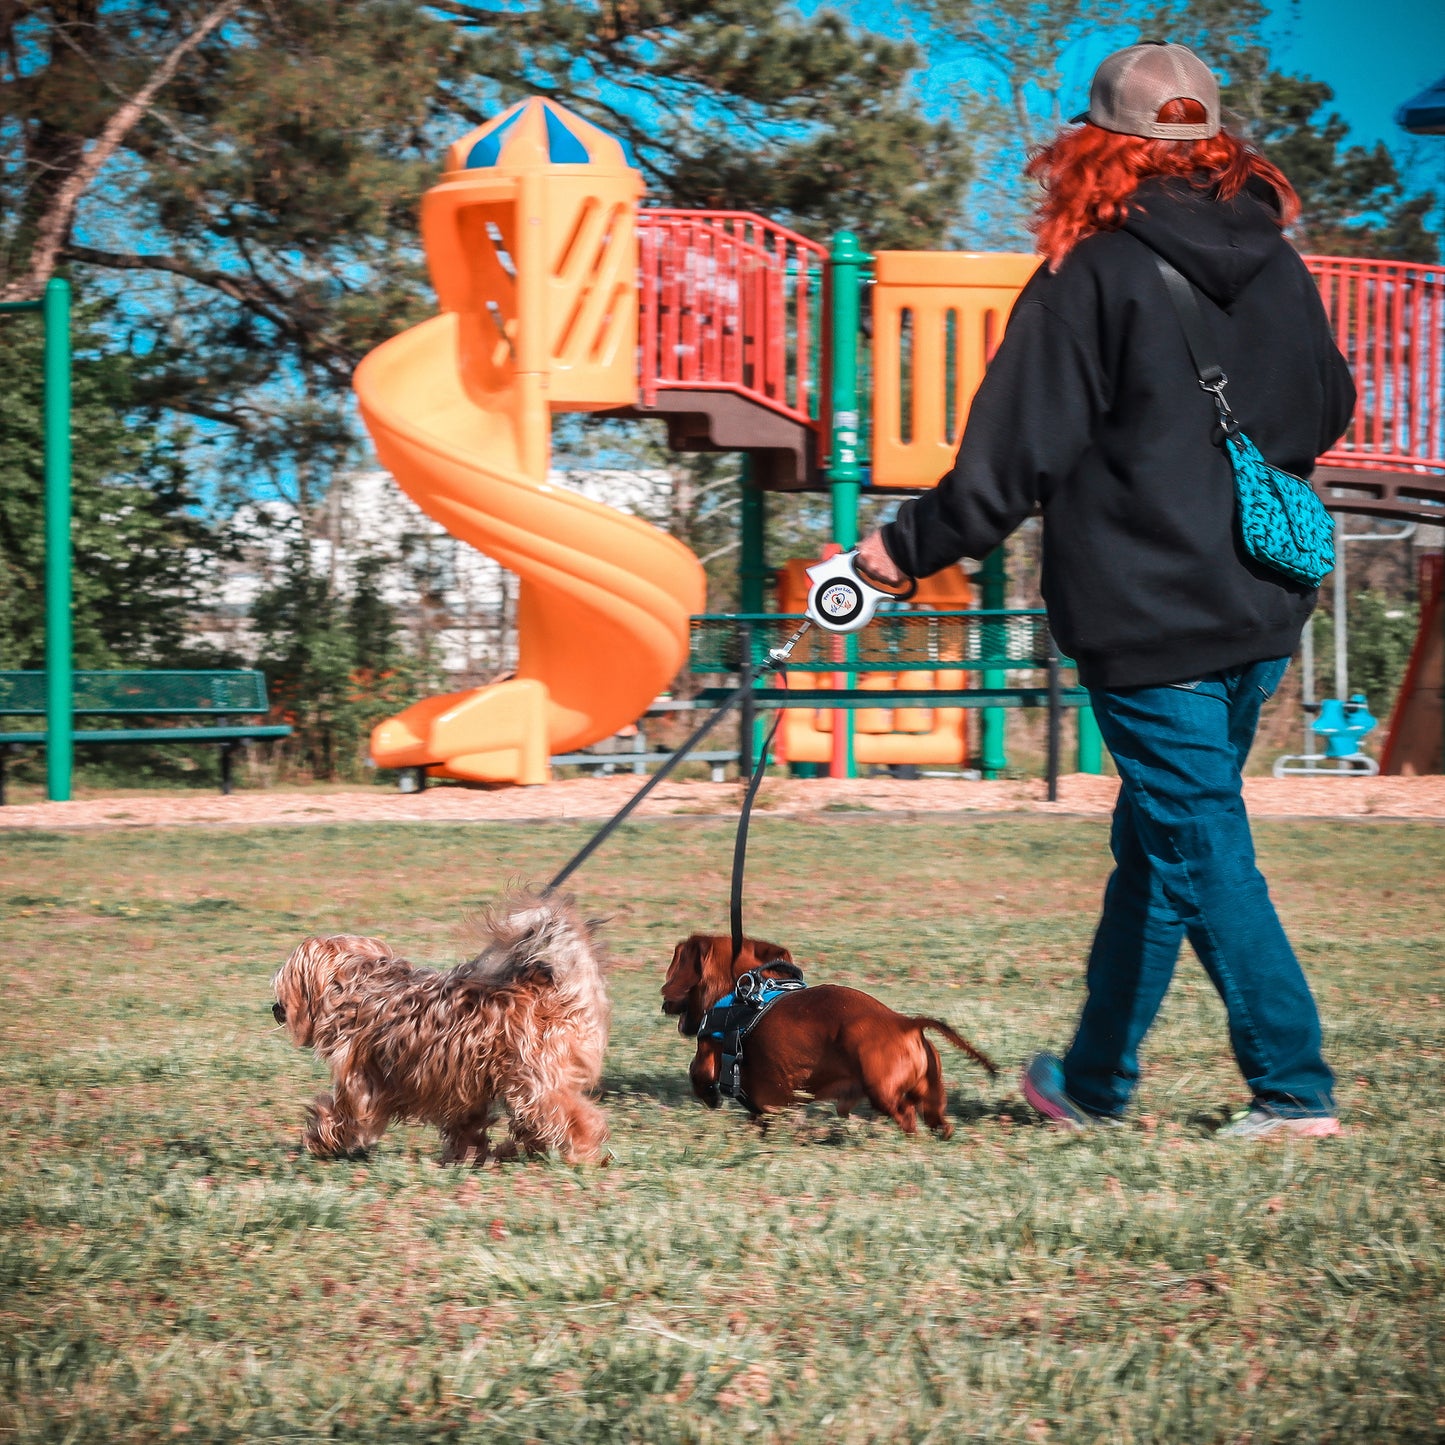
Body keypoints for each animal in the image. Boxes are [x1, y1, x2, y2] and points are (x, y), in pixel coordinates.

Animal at [274, 890, 609, 1161]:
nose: (275, 1009)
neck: (358, 984)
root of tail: (550, 983)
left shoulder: (361, 1083)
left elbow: (343, 1114)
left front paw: (321, 1138)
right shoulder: (462, 1085)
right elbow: (467, 1127)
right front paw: (468, 1155)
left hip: (534, 1080)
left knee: (571, 1116)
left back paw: (583, 1151)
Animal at [658, 936, 988, 1138]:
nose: (664, 1001)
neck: (741, 989)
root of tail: (904, 1023)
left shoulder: (708, 1054)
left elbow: (697, 1073)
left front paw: (711, 1097)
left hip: (883, 1094)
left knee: (906, 1115)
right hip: (931, 1099)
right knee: (938, 1122)